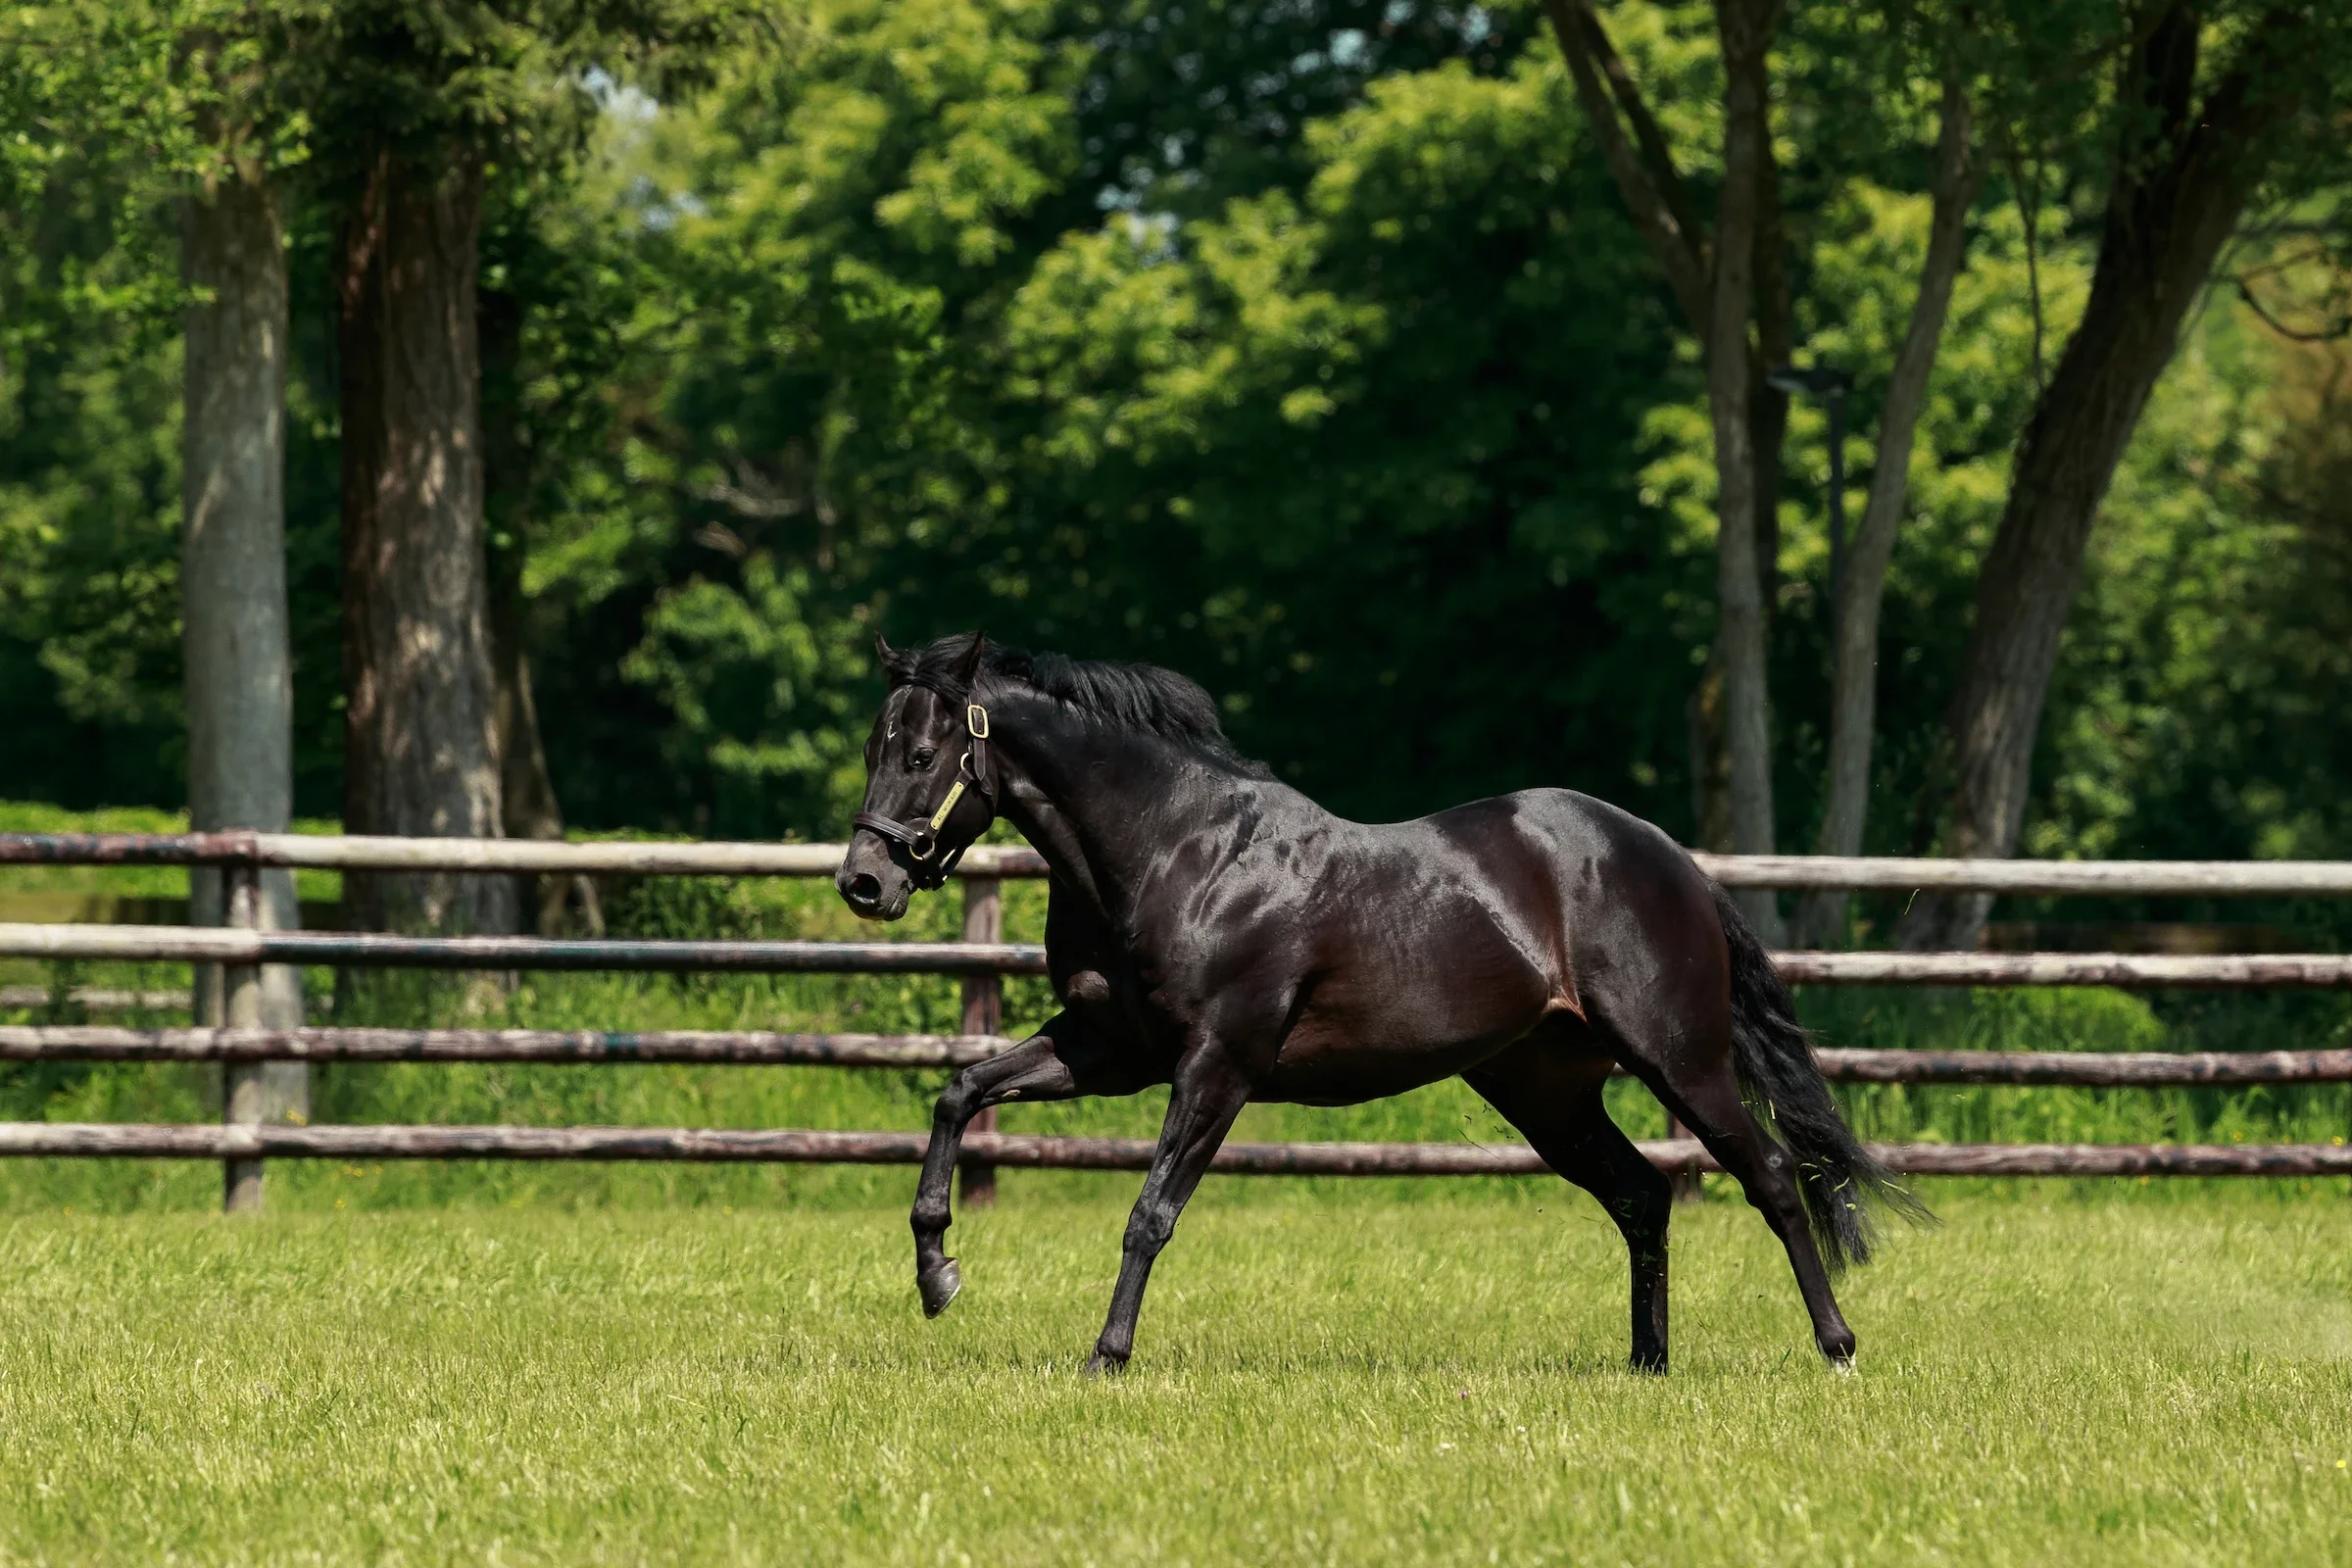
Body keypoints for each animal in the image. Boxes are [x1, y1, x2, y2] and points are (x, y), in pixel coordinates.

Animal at [835, 632, 1922, 1374]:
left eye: (924, 755)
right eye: (874, 749)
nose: (864, 883)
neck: (1178, 850)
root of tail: (1672, 861)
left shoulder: (1218, 1064)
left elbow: (1151, 1211)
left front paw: (1107, 1353)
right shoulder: (1108, 1049)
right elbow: (960, 1092)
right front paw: (937, 1273)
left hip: (1679, 1060)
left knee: (1773, 1176)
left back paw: (1838, 1346)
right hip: (1546, 1093)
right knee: (1643, 1195)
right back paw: (1646, 1363)